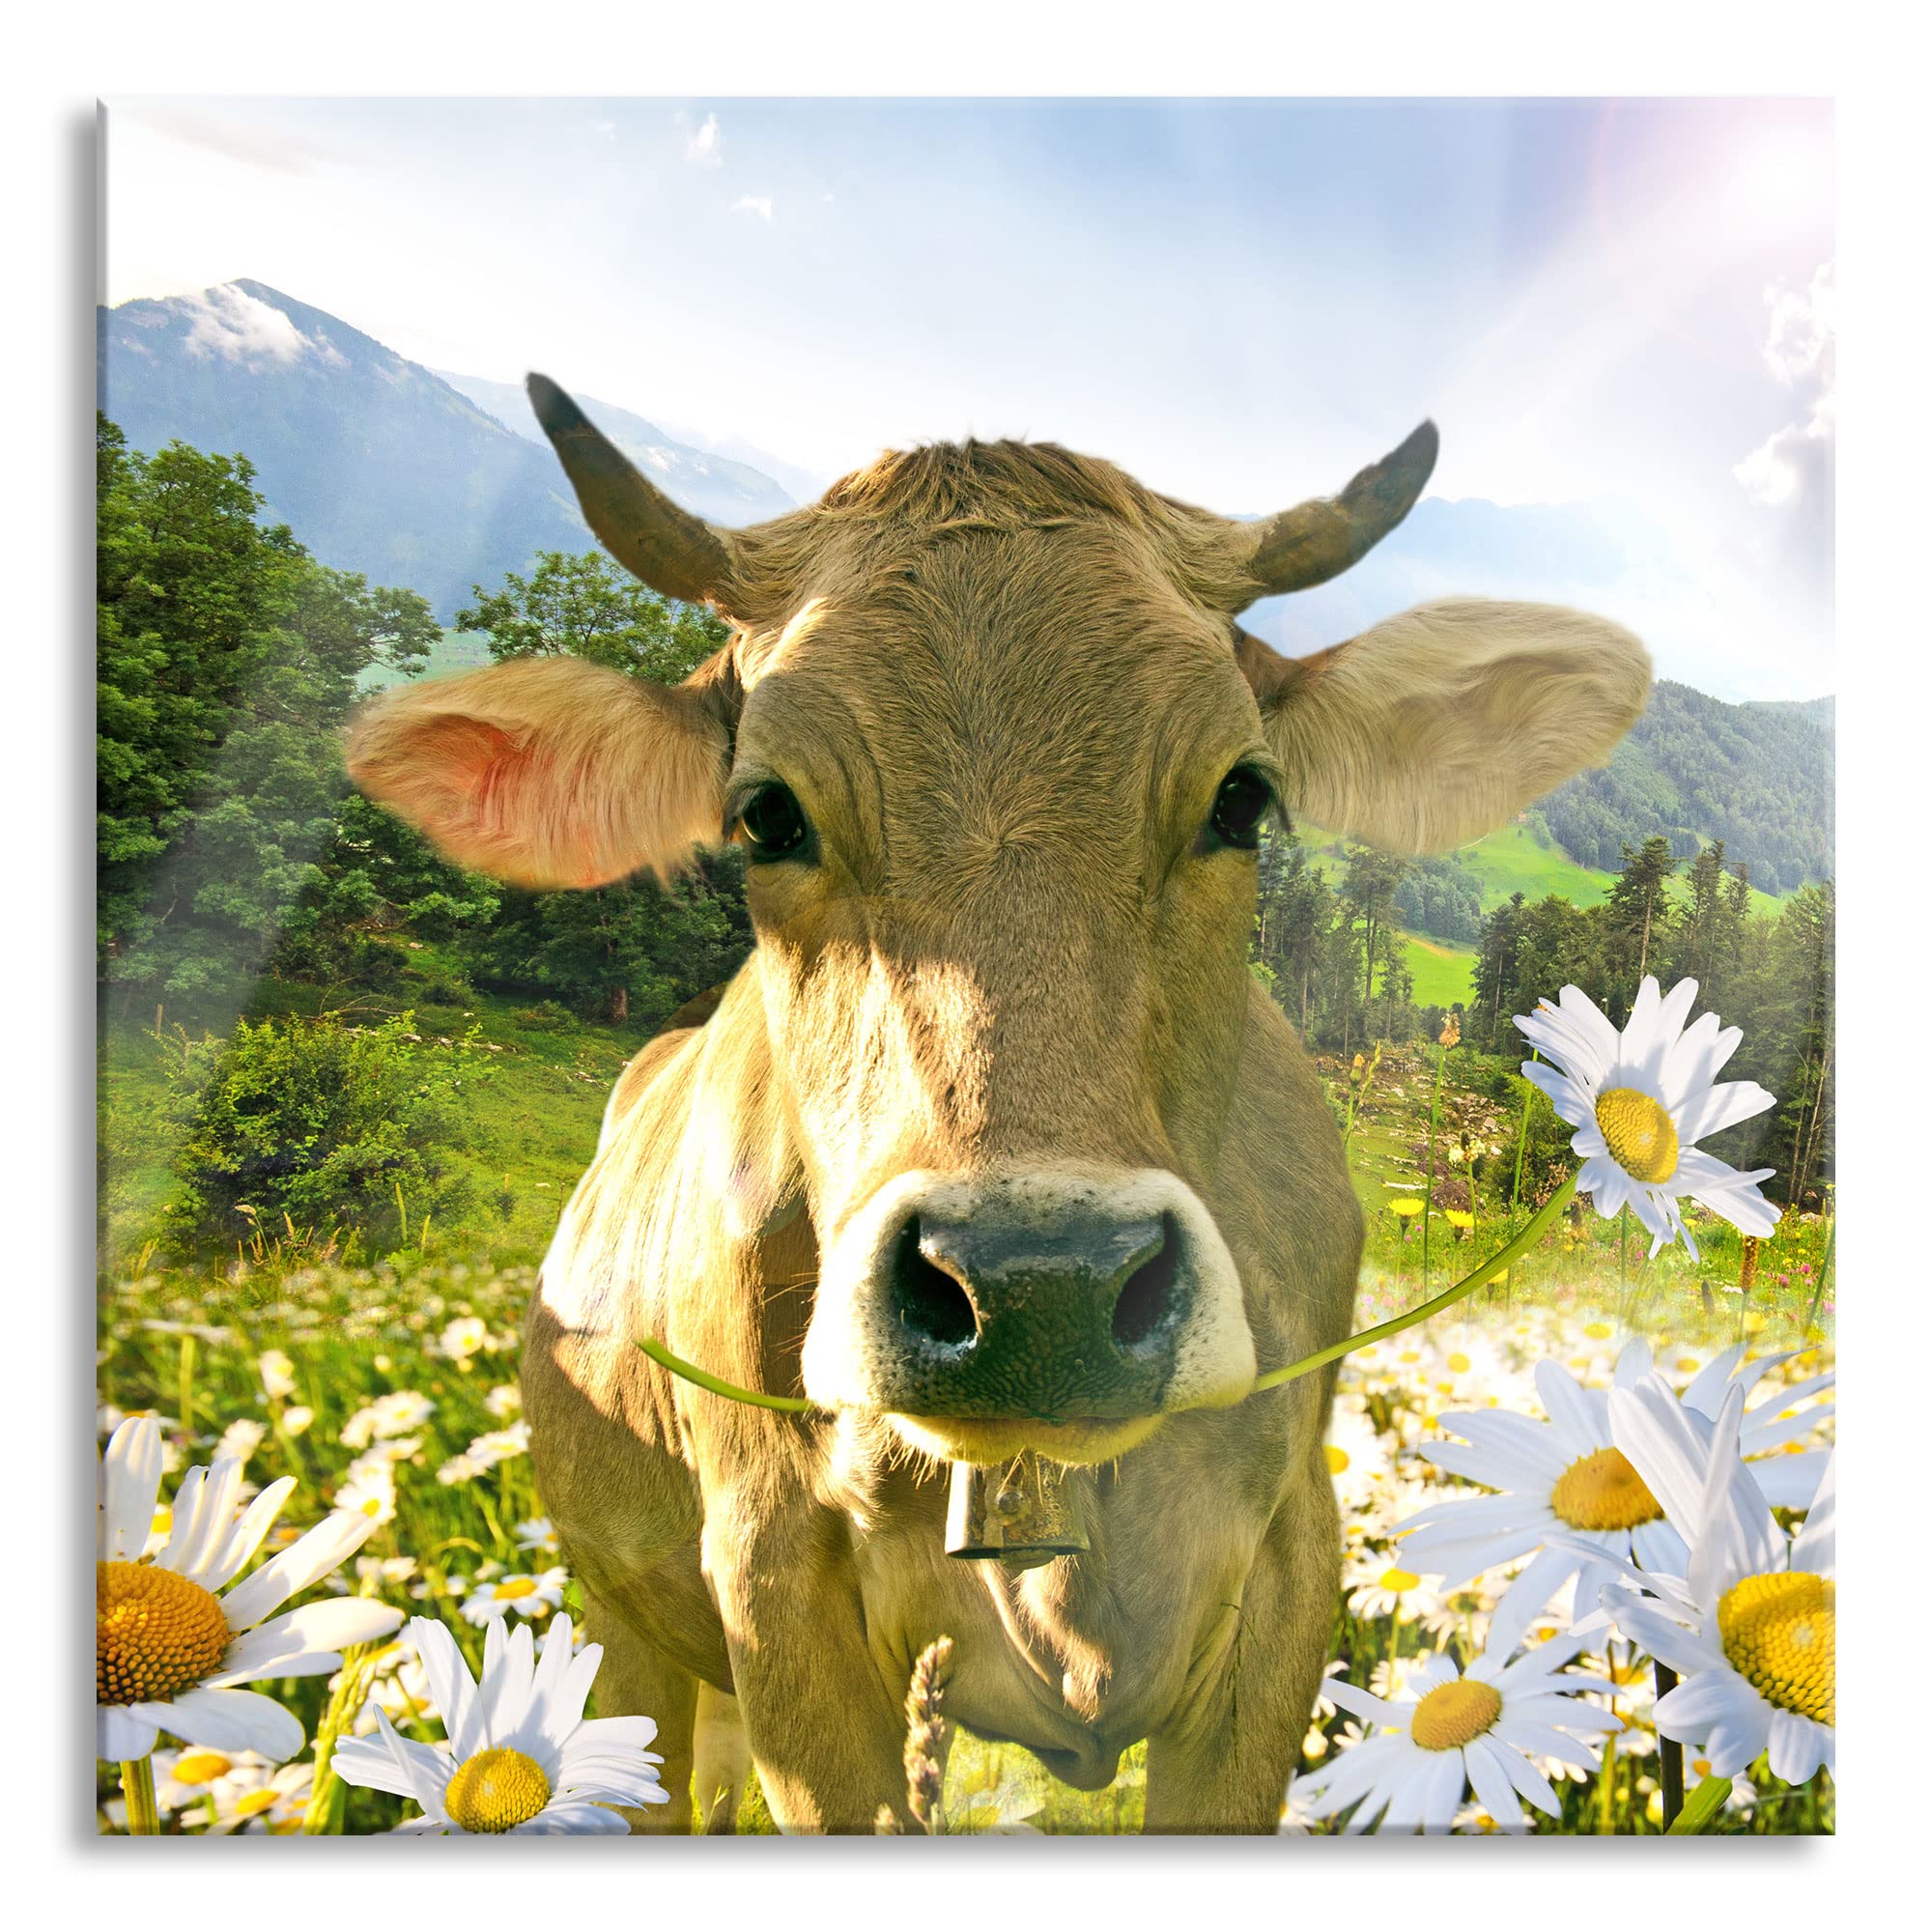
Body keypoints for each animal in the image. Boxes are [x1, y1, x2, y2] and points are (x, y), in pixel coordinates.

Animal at [346, 377, 1650, 1833]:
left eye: (1242, 797)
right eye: (764, 815)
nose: (1041, 1288)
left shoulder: (1289, 1574)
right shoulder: (772, 1585)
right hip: (619, 1630)